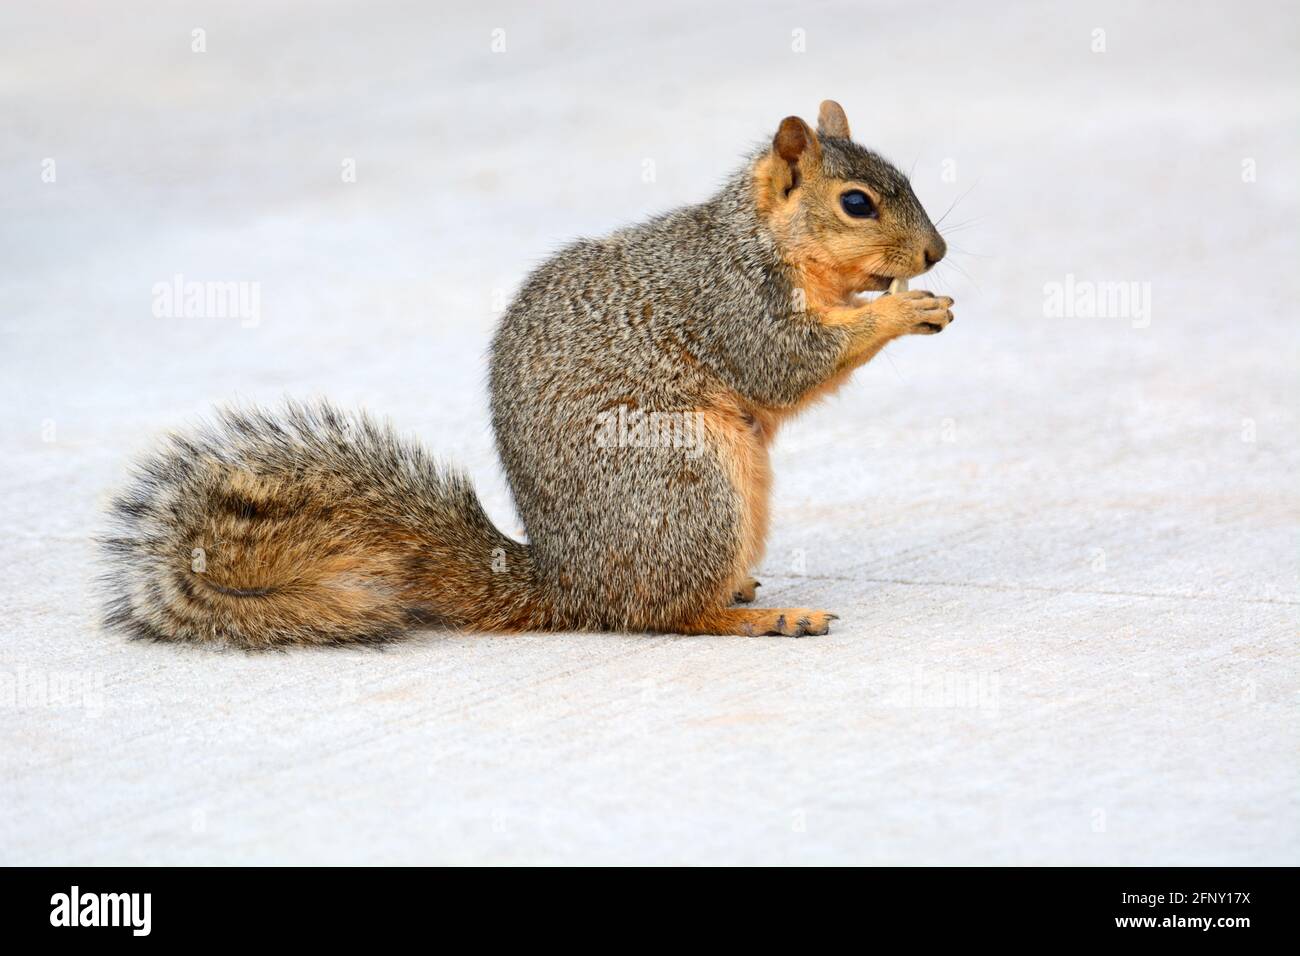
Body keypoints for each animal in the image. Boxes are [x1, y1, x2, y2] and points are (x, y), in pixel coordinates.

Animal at [104, 98, 956, 650]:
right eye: (856, 203)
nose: (935, 253)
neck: (765, 241)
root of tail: (567, 584)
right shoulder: (733, 303)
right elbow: (785, 365)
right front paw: (903, 310)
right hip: (685, 482)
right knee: (663, 615)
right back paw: (755, 617)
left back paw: (741, 589)